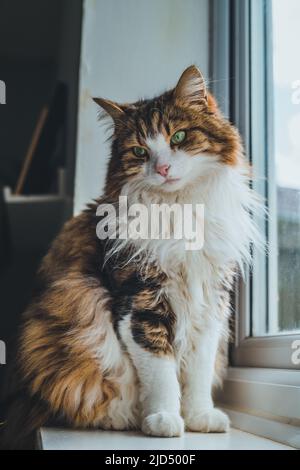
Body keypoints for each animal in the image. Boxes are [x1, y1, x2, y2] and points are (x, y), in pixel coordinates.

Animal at [0, 65, 260, 448]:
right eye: (139, 152)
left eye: (178, 136)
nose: (163, 169)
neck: (180, 210)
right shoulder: (140, 302)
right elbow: (160, 372)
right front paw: (164, 420)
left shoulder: (210, 304)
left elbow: (198, 371)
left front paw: (199, 418)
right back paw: (122, 420)